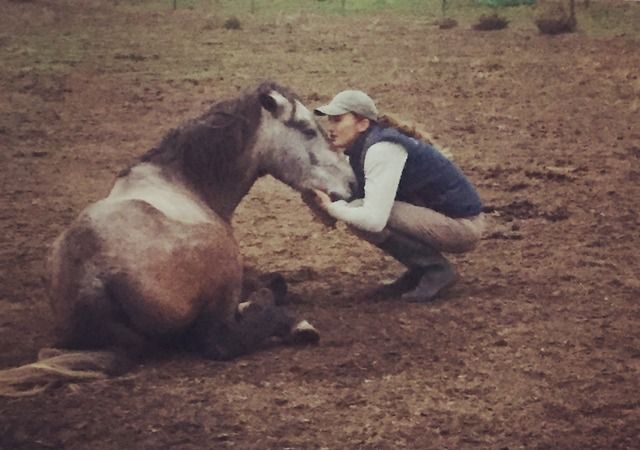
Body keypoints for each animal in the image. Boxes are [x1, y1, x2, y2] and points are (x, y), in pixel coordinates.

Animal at [0, 81, 355, 396]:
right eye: (307, 129)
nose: (352, 184)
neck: (182, 178)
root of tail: (91, 273)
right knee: (223, 339)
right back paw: (289, 321)